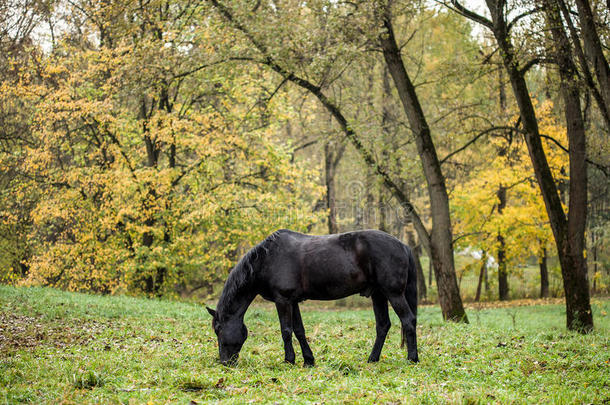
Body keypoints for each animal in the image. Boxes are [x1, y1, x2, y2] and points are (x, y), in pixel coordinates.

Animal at [207, 229, 416, 364]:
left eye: (218, 329)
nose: (225, 362)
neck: (267, 260)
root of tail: (403, 245)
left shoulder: (283, 301)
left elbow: (286, 330)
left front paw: (289, 360)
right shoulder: (293, 302)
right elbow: (299, 330)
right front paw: (308, 360)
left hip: (393, 294)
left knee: (408, 320)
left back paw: (412, 359)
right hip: (378, 295)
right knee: (383, 326)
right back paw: (372, 359)